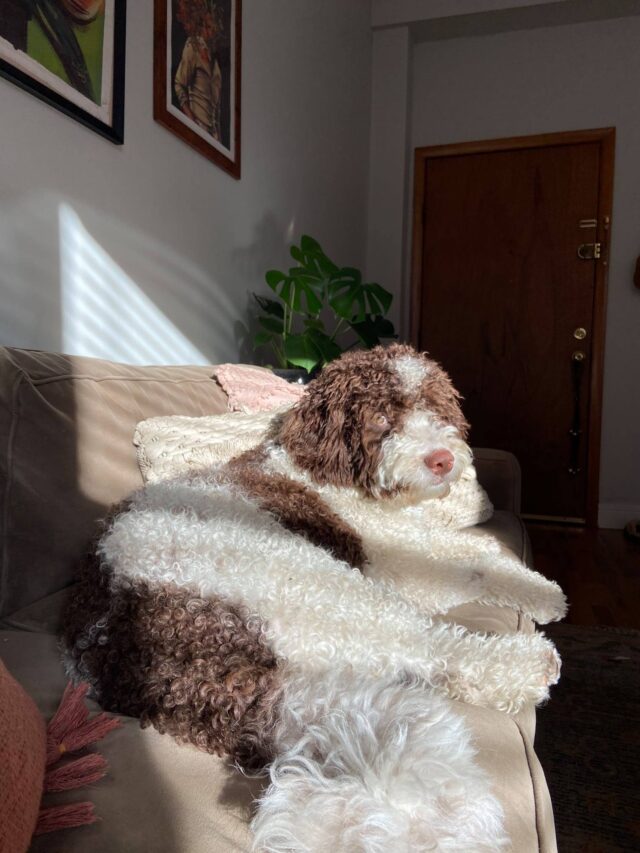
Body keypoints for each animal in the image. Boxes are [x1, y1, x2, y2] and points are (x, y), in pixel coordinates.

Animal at [63, 342, 564, 848]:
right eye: (381, 417)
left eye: (434, 407)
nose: (441, 459)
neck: (338, 478)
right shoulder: (394, 563)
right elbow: (470, 567)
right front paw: (540, 592)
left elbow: (479, 553)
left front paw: (542, 591)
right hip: (319, 584)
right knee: (431, 646)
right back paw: (528, 663)